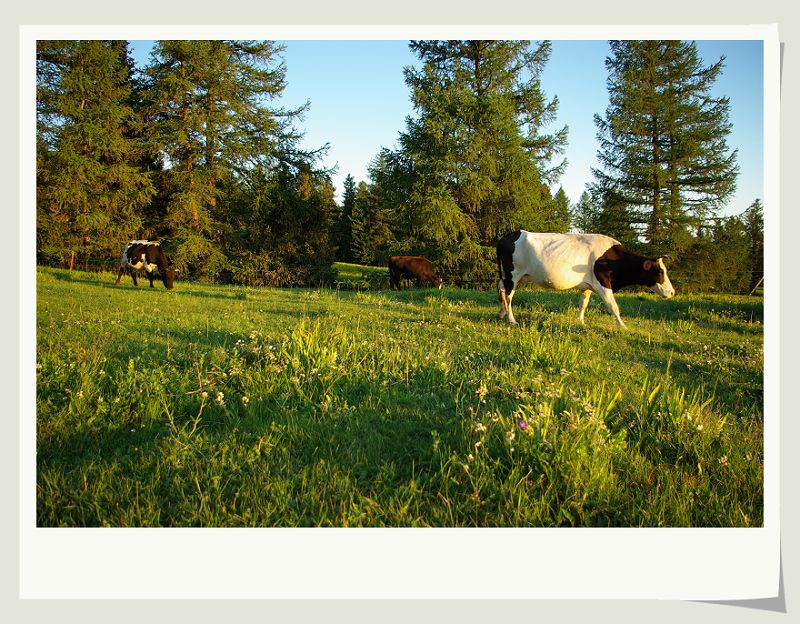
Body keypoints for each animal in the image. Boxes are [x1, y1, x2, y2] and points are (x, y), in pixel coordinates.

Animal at [494, 232, 676, 330]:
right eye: (660, 271)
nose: (672, 292)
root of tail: (508, 236)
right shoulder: (603, 284)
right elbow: (614, 307)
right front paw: (622, 326)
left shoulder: (587, 286)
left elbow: (583, 303)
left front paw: (580, 321)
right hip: (513, 274)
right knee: (509, 295)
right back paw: (512, 319)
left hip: (513, 276)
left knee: (502, 288)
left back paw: (501, 313)